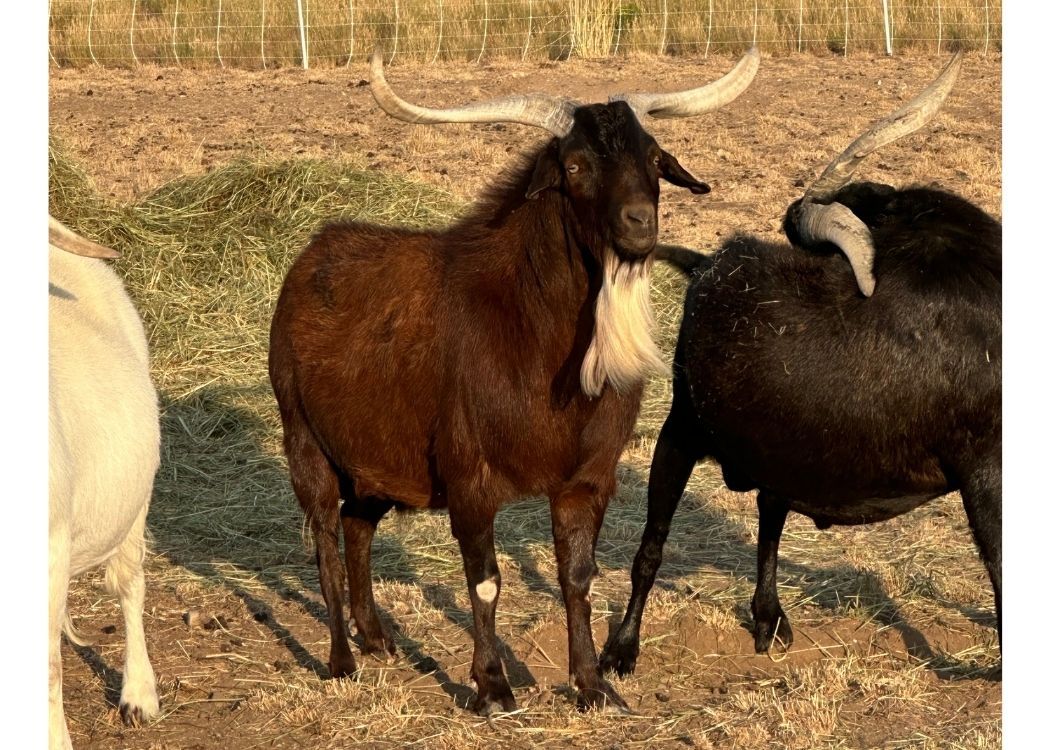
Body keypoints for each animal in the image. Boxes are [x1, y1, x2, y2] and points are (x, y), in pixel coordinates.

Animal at [268, 48, 759, 714]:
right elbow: (486, 582)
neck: (529, 335)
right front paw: (493, 686)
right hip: (304, 438)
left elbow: (577, 577)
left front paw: (592, 685)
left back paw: (378, 640)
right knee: (324, 537)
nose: (640, 224)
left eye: (654, 156)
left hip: (378, 459)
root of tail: (311, 254)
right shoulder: (470, 478)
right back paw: (342, 661)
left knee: (356, 526)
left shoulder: (586, 479)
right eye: (574, 165)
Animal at [600, 54, 1001, 677]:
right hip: (681, 430)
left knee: (769, 514)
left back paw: (767, 617)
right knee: (653, 544)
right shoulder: (986, 473)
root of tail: (709, 267)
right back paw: (622, 647)